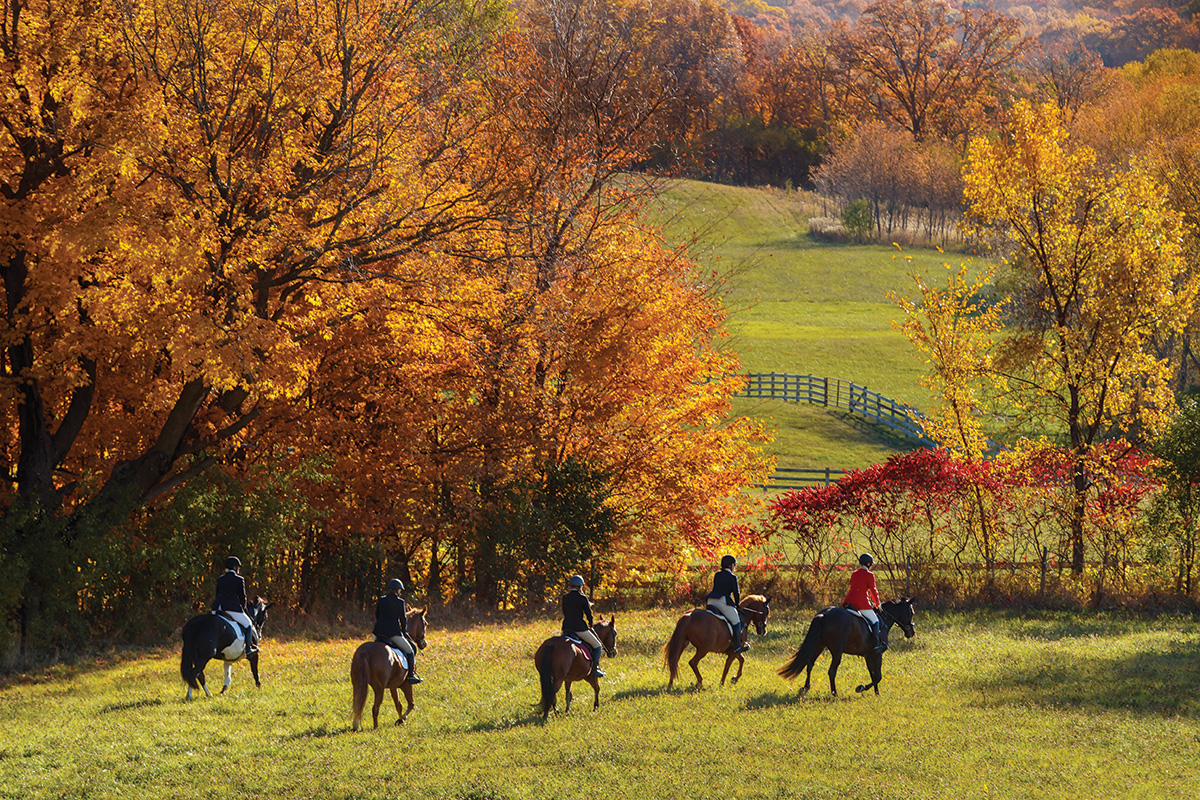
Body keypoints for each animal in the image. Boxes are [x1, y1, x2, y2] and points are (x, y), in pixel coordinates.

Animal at [350, 606, 429, 734]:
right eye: (425, 624)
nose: (424, 644)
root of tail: (365, 651)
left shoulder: (393, 685)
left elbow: (398, 704)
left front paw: (400, 720)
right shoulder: (406, 684)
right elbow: (411, 703)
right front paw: (401, 720)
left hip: (357, 684)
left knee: (357, 704)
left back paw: (355, 726)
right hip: (379, 687)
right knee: (375, 708)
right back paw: (375, 728)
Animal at [777, 597, 916, 695]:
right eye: (912, 612)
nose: (912, 633)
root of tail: (824, 615)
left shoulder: (868, 655)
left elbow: (873, 674)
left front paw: (876, 693)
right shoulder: (877, 654)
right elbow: (878, 676)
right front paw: (862, 688)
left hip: (818, 645)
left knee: (810, 664)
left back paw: (806, 687)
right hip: (837, 651)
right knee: (832, 671)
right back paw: (834, 693)